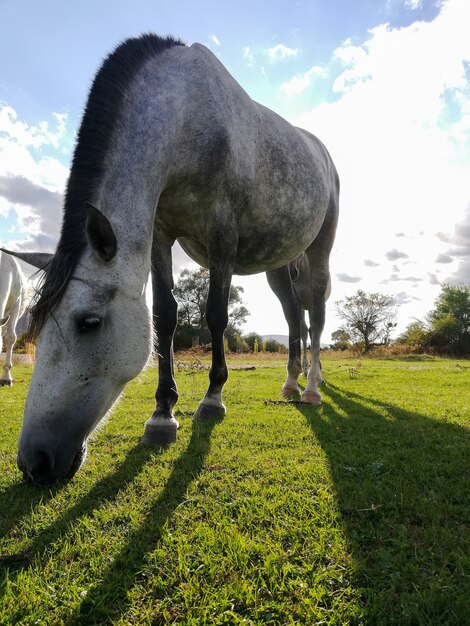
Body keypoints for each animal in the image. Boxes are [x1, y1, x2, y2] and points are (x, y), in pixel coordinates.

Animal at [6, 35, 338, 482]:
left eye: (89, 323)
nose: (34, 461)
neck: (188, 119)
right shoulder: (160, 235)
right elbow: (164, 315)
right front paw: (162, 414)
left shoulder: (222, 237)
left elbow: (216, 315)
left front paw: (212, 399)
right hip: (279, 267)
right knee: (293, 318)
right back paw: (290, 384)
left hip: (320, 249)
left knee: (315, 315)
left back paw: (312, 387)